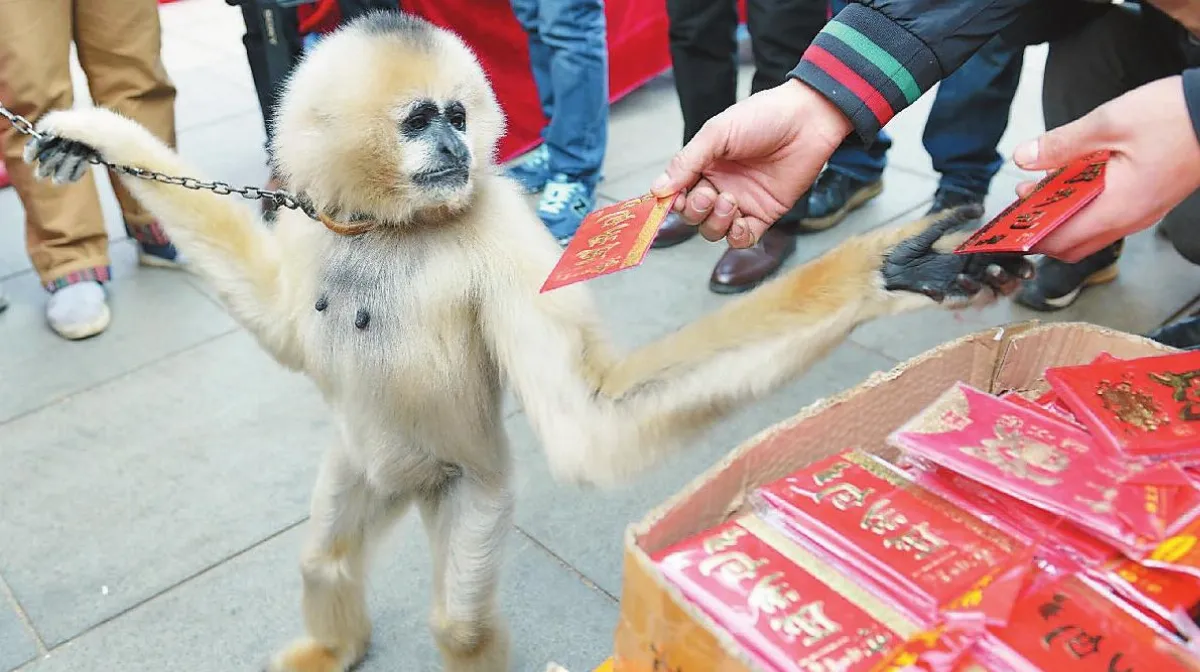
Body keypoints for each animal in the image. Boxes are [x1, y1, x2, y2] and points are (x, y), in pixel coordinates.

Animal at [22, 11, 1031, 671]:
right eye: (419, 121)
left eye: (458, 116)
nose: (454, 149)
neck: (393, 233)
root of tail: (412, 487)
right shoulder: (315, 224)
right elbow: (281, 327)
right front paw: (87, 135)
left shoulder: (504, 237)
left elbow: (588, 421)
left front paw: (885, 275)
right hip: (362, 468)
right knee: (326, 556)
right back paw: (332, 646)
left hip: (471, 489)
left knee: (460, 624)